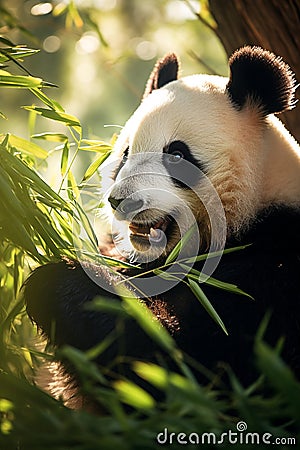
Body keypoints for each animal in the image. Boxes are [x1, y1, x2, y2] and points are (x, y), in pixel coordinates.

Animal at [24, 46, 300, 404]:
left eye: (176, 155)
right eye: (125, 154)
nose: (121, 201)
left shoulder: (272, 274)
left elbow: (186, 370)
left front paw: (55, 281)